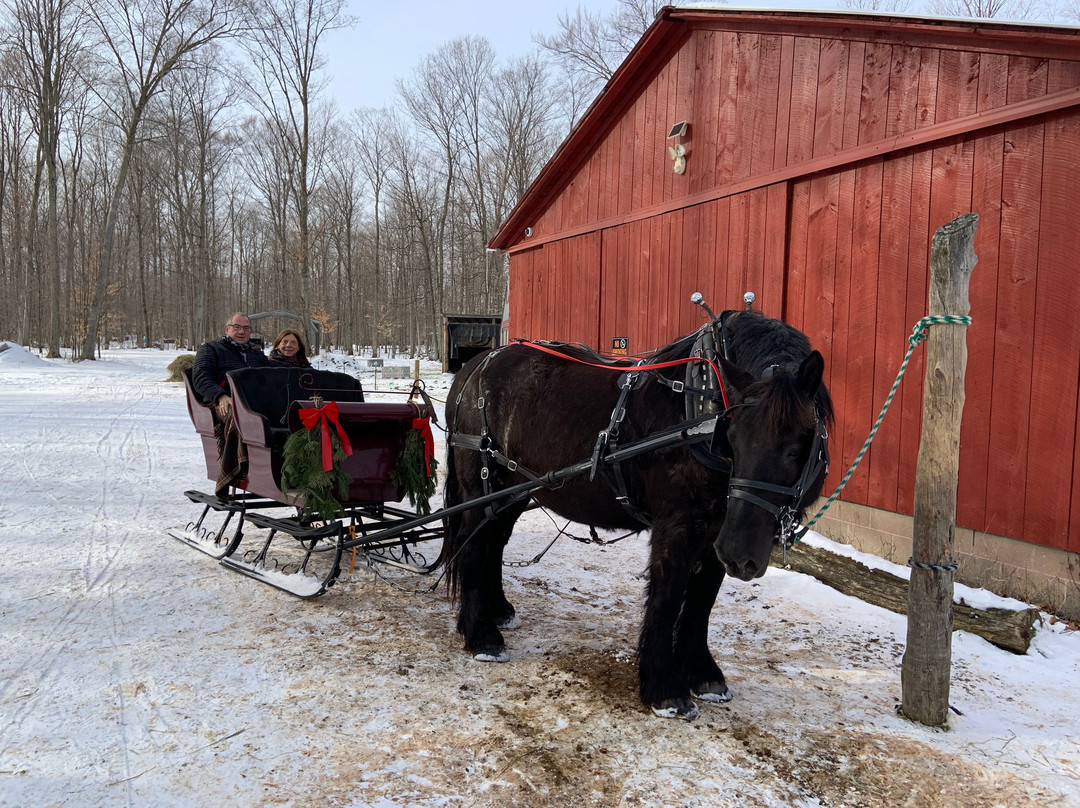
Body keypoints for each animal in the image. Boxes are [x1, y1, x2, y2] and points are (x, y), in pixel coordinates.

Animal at [442, 308, 829, 721]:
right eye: (734, 438)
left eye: (796, 448)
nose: (742, 556)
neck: (700, 412)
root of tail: (475, 366)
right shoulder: (677, 525)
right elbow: (667, 597)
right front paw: (665, 688)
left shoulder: (716, 532)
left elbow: (702, 602)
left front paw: (703, 673)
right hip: (482, 486)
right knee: (473, 549)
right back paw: (482, 636)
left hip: (513, 491)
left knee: (493, 544)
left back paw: (498, 611)